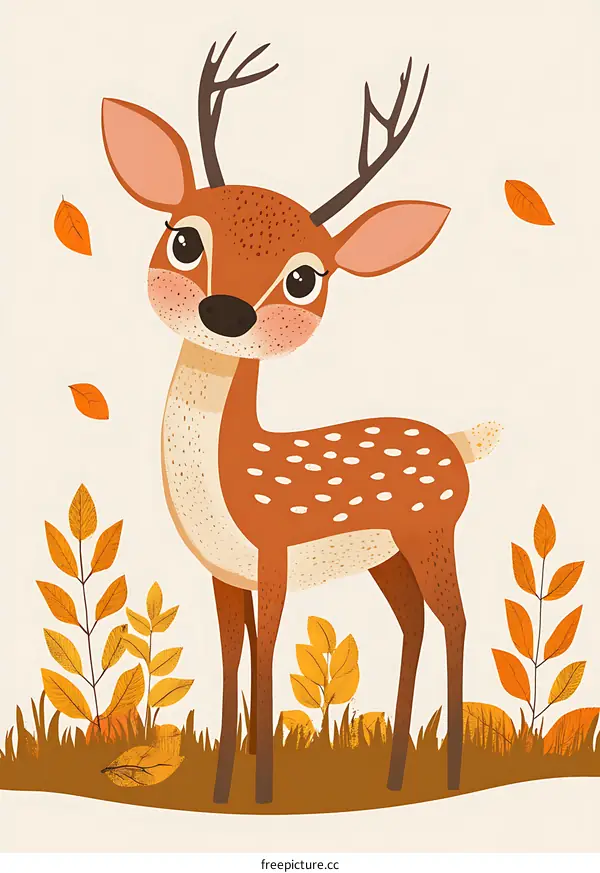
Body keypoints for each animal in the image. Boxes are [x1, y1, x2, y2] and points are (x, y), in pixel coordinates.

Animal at [101, 34, 501, 806]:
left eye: (304, 277)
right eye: (185, 239)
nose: (226, 311)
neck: (227, 478)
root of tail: (458, 444)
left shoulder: (274, 552)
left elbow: (266, 654)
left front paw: (263, 795)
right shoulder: (223, 569)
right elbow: (231, 659)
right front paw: (223, 791)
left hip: (432, 529)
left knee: (457, 619)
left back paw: (453, 775)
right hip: (387, 554)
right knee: (412, 623)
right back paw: (395, 775)